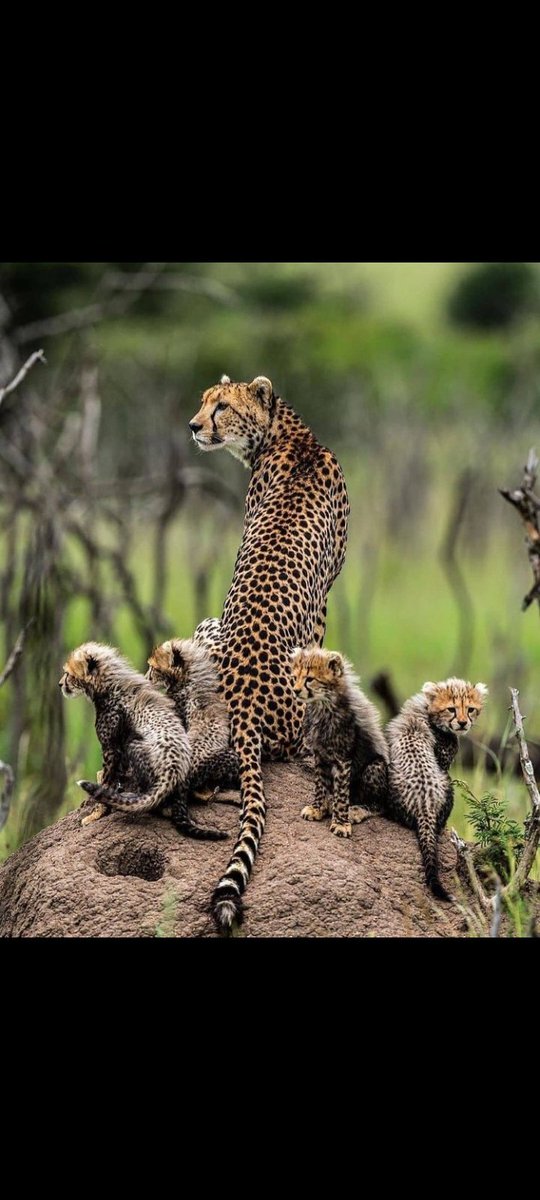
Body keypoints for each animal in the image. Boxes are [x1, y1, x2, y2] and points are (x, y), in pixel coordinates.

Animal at [189, 369, 350, 931]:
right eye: (204, 403)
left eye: (221, 407)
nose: (193, 425)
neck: (288, 434)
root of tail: (243, 706)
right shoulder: (323, 604)